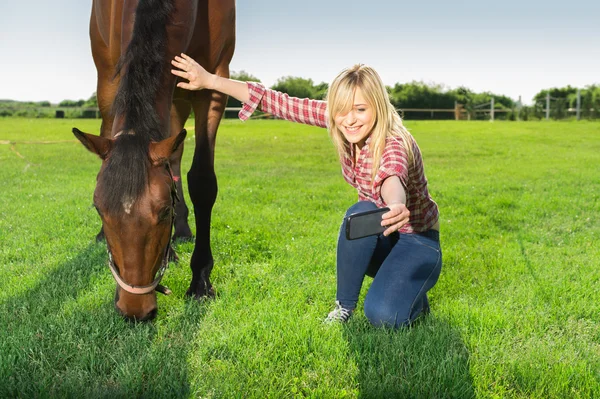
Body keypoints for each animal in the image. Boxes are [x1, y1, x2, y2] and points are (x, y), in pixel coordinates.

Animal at [72, 0, 234, 322]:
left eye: (164, 211)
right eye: (98, 209)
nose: (135, 310)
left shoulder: (212, 82)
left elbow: (202, 181)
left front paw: (200, 280)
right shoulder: (114, 73)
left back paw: (181, 233)